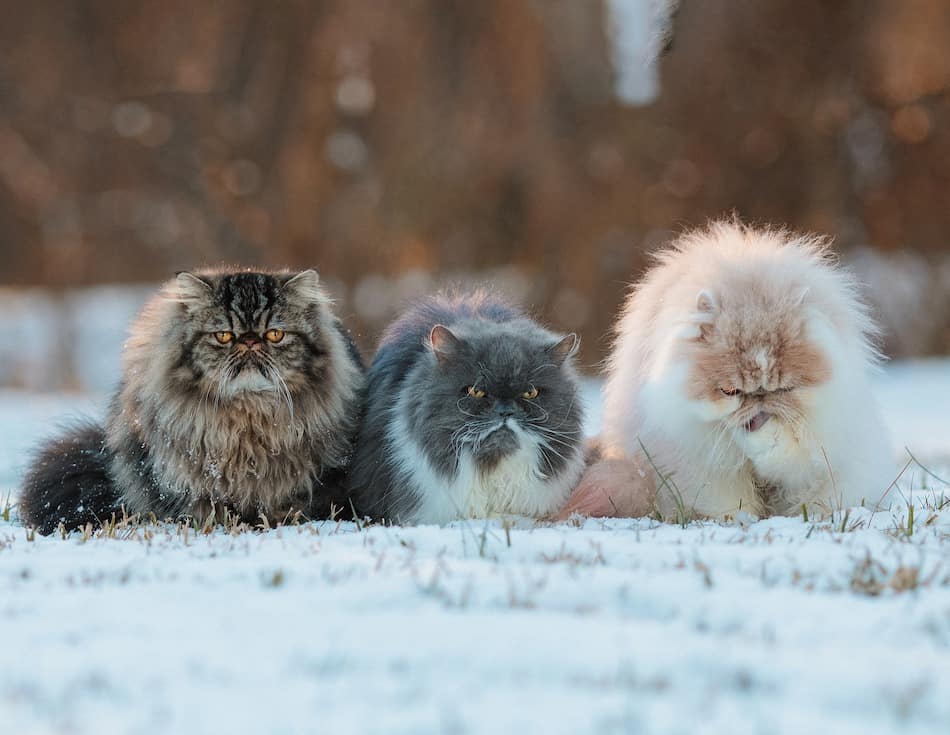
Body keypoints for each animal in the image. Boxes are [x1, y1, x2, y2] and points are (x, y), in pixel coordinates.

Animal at [580, 221, 900, 520]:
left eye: (784, 389)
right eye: (730, 391)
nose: (760, 397)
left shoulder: (818, 440)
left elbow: (788, 452)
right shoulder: (694, 453)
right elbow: (726, 496)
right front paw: (736, 518)